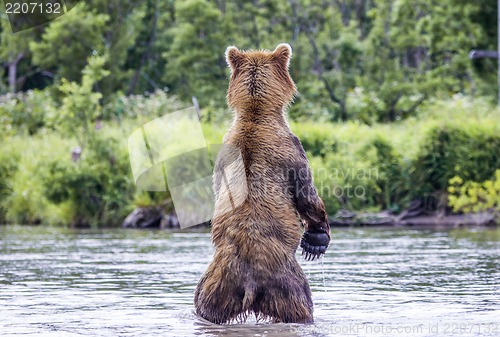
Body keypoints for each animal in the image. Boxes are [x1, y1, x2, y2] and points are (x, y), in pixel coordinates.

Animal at [193, 42, 330, 322]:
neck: (256, 113)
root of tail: (250, 284)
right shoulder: (291, 149)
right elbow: (306, 194)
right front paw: (317, 237)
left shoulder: (221, 157)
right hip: (286, 281)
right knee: (302, 304)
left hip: (216, 283)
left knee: (203, 304)